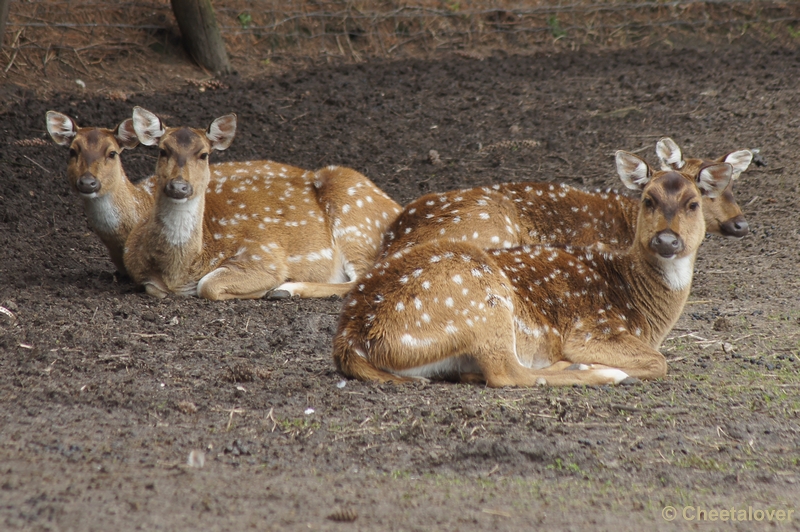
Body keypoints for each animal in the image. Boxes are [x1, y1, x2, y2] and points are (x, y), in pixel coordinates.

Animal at [125, 106, 404, 302]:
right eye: (162, 150)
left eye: (204, 154)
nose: (179, 186)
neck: (180, 271)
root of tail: (397, 208)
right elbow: (154, 288)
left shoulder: (264, 255)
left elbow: (208, 285)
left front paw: (267, 288)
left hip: (356, 224)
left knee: (364, 277)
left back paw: (284, 289)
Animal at [334, 152, 736, 388]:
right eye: (648, 199)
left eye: (693, 203)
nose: (667, 240)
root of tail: (351, 340)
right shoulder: (591, 329)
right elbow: (658, 362)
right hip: (482, 300)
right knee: (507, 374)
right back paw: (597, 372)